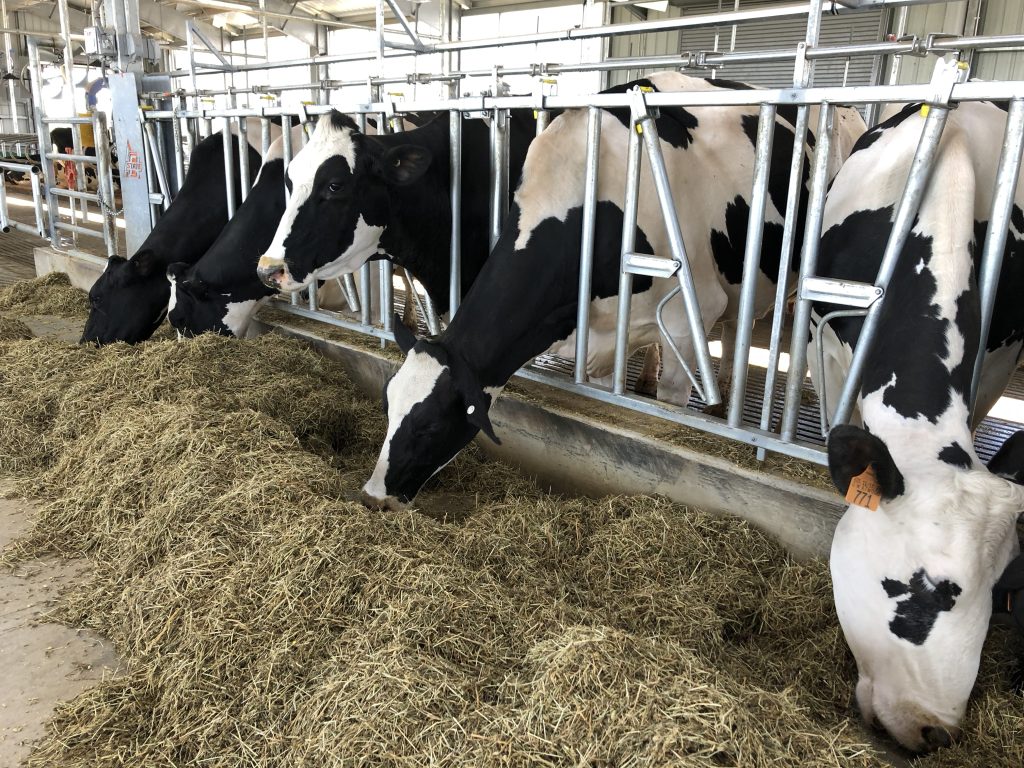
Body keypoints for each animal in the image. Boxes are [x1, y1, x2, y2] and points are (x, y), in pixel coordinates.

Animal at [358, 72, 864, 510]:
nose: (372, 495)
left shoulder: (689, 318)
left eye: (427, 426)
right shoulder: (602, 339)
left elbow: (671, 405)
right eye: (386, 405)